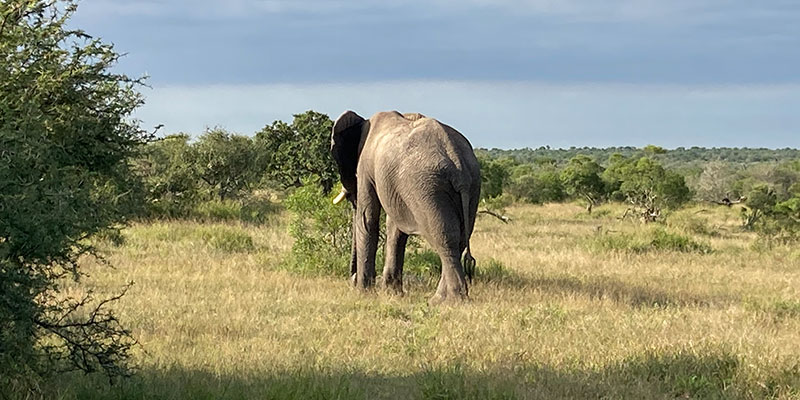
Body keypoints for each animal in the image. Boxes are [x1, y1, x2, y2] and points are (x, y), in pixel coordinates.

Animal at [326, 110, 478, 304]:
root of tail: (458, 163)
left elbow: (367, 219)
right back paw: (442, 297)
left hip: (427, 188)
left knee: (444, 237)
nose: (352, 279)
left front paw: (363, 293)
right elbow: (395, 228)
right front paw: (392, 293)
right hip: (472, 184)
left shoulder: (366, 167)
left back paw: (447, 301)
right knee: (460, 239)